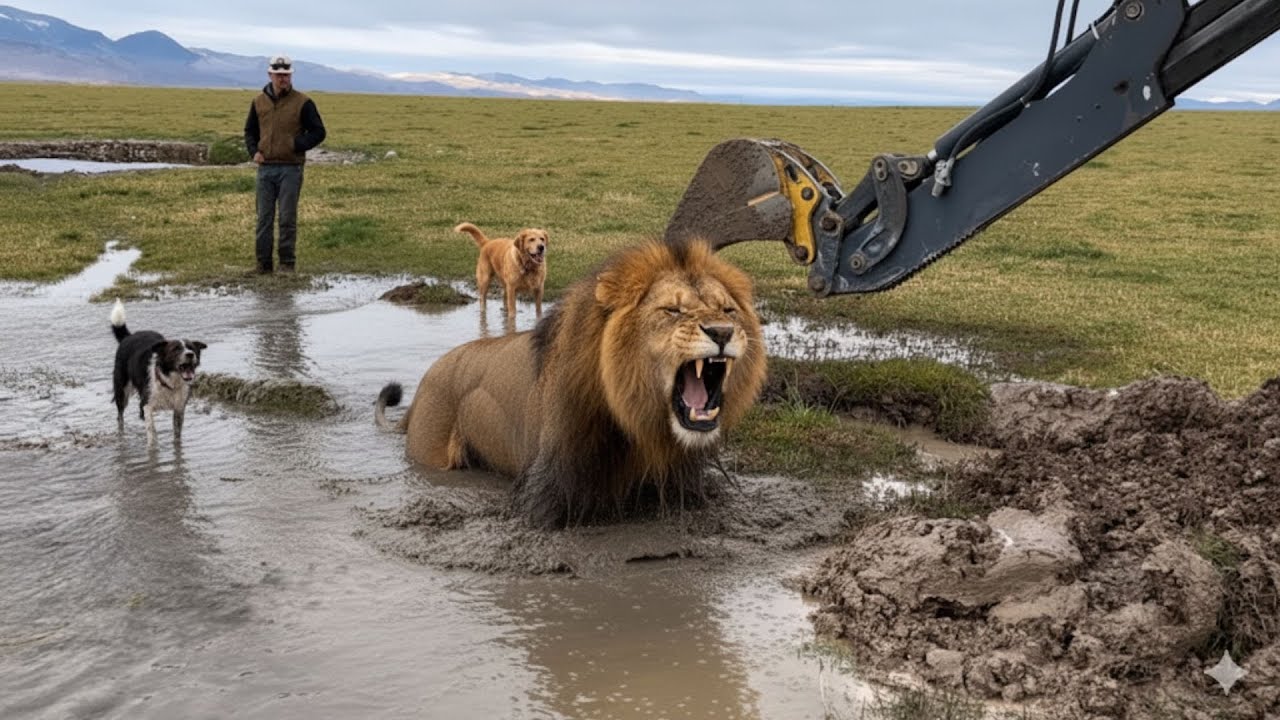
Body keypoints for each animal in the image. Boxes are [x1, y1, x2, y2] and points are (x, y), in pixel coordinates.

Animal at [376, 239, 767, 528]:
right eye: (673, 310)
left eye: (728, 311)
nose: (722, 332)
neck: (638, 427)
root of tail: (425, 381)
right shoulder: (547, 496)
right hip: (431, 452)